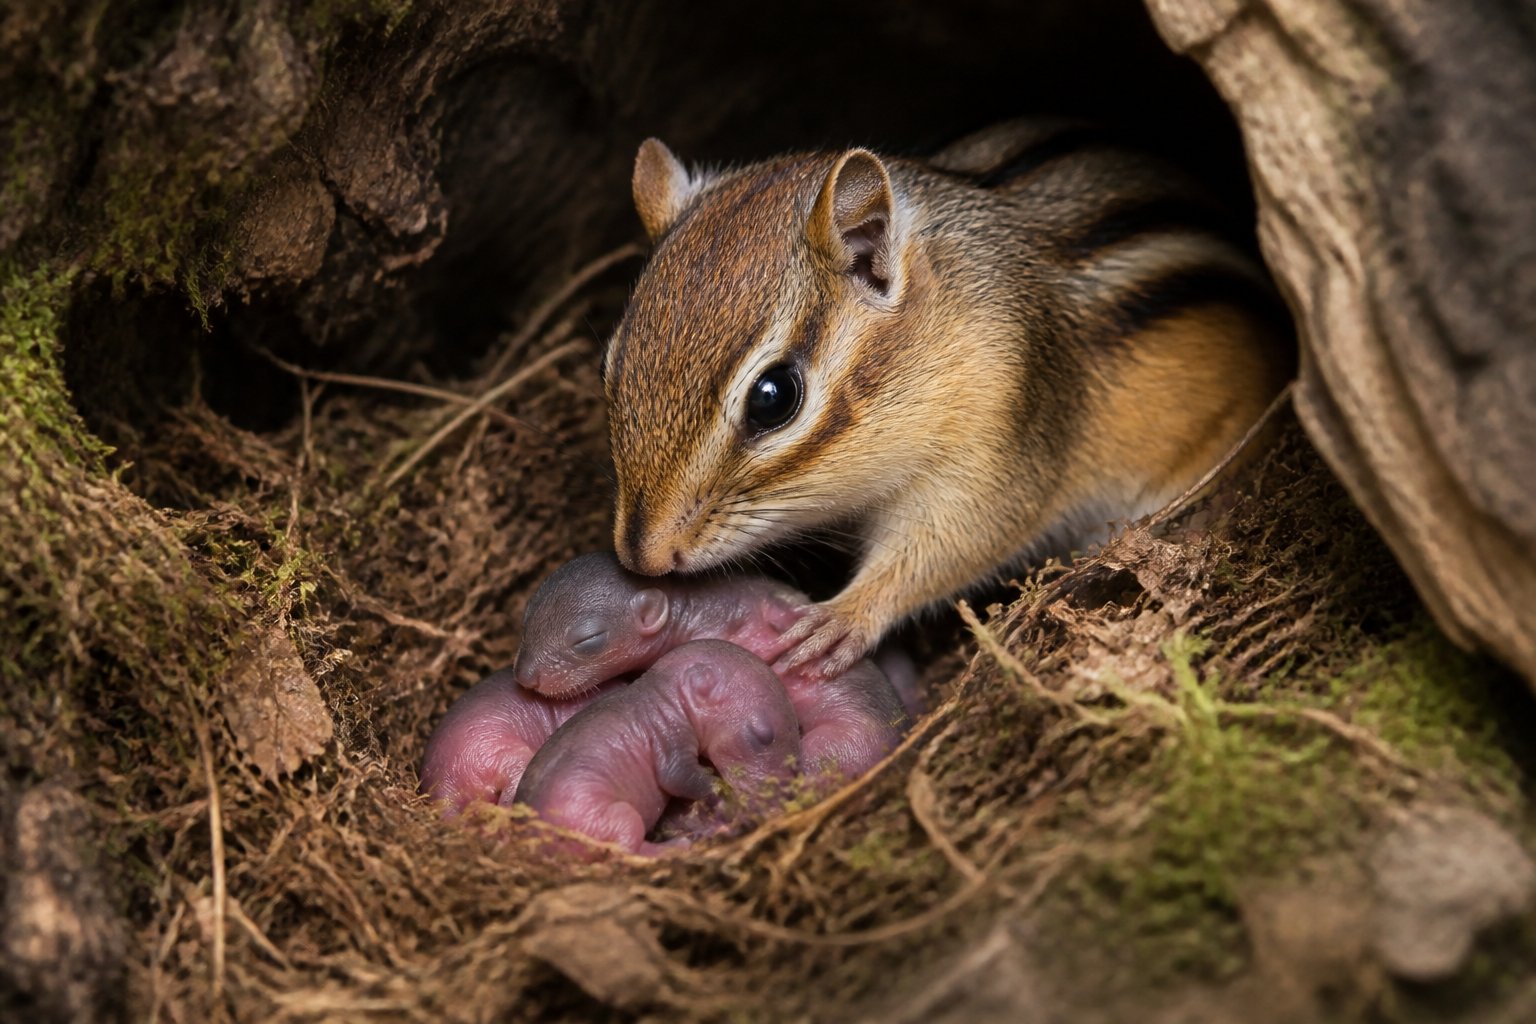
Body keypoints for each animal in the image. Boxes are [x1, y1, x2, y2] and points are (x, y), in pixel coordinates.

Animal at [601, 119, 1293, 680]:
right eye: (610, 363)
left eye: (774, 398)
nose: (644, 556)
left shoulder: (1004, 440)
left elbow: (953, 545)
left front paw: (844, 616)